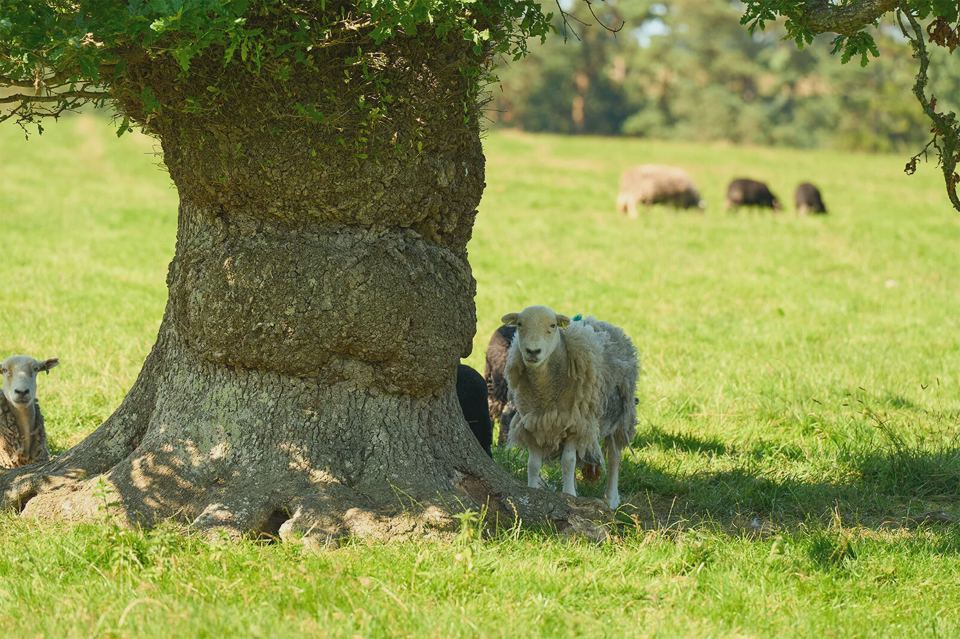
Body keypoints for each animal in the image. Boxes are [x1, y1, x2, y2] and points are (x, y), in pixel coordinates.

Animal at [502, 306, 638, 509]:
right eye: (519, 324)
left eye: (553, 326)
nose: (532, 351)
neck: (545, 393)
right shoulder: (533, 424)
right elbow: (533, 464)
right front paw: (533, 490)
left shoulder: (576, 423)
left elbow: (568, 461)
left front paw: (569, 495)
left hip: (620, 416)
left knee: (614, 457)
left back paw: (612, 498)